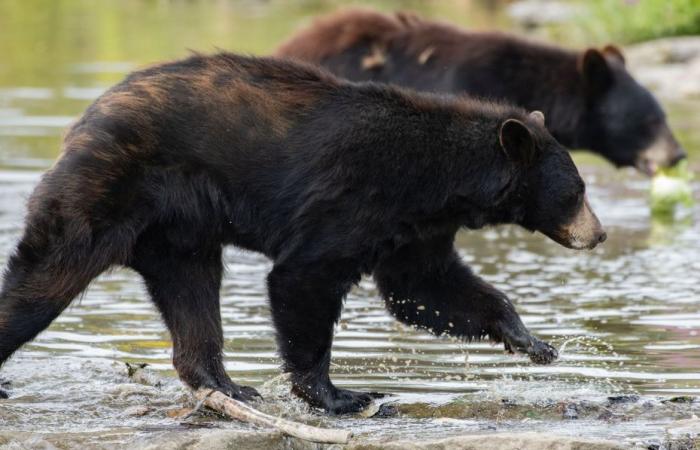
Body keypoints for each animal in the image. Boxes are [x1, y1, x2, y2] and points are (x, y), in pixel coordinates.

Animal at [0, 51, 608, 412]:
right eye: (577, 191)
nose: (598, 235)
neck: (439, 179)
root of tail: (89, 114)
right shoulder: (356, 197)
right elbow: (304, 276)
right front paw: (341, 395)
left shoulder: (414, 227)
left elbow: (423, 289)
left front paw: (532, 342)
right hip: (108, 187)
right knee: (46, 275)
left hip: (178, 233)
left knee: (191, 293)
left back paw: (225, 384)